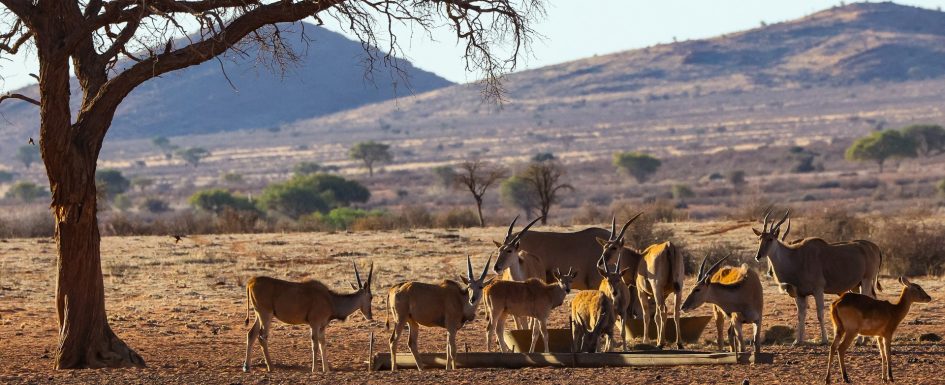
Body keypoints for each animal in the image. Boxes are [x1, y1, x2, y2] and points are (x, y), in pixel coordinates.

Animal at [752, 210, 884, 344]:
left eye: (770, 239)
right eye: (759, 238)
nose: (758, 256)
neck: (796, 257)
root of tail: (875, 248)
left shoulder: (818, 289)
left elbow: (820, 314)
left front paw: (824, 340)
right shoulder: (800, 294)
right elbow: (800, 315)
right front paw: (797, 341)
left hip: (866, 280)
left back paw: (861, 340)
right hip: (856, 286)